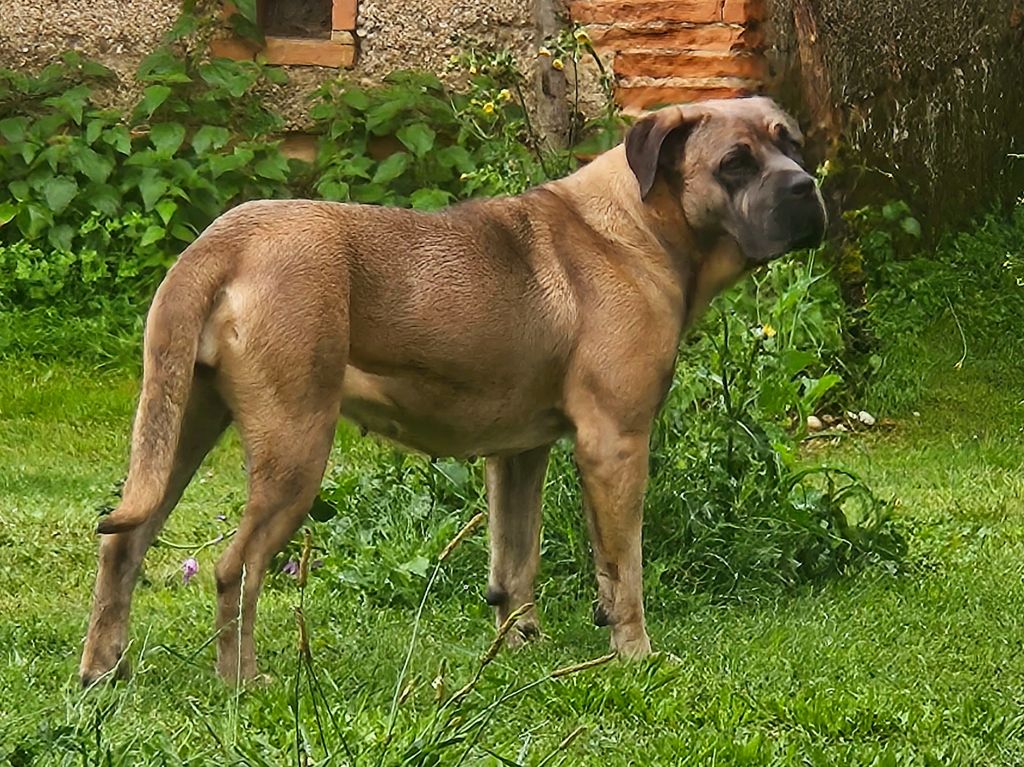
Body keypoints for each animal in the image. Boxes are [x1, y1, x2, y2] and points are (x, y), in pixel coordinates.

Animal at [83, 92, 827, 684]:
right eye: (735, 163)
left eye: (790, 143)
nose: (806, 188)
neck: (642, 225)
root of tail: (223, 242)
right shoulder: (616, 443)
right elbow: (624, 571)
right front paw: (636, 655)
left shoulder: (521, 453)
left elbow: (514, 562)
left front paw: (519, 648)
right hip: (295, 446)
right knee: (235, 567)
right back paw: (244, 682)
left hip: (182, 424)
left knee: (124, 542)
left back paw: (103, 671)